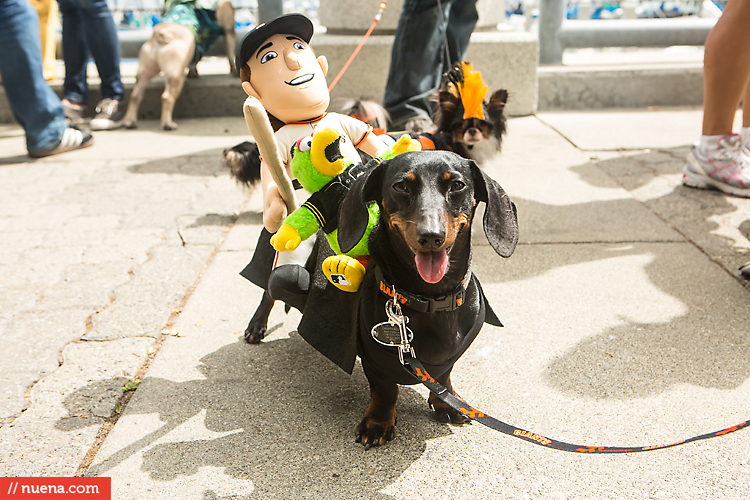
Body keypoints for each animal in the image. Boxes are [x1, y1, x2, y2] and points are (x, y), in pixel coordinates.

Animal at [340, 150, 520, 448]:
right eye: (400, 186)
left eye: (457, 185)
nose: (431, 236)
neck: (431, 298)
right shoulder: (374, 359)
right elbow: (385, 390)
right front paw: (378, 422)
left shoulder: (450, 360)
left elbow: (443, 377)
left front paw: (447, 402)